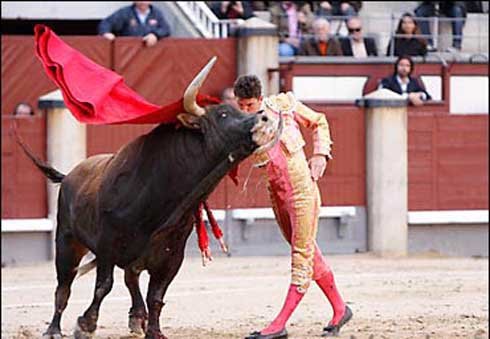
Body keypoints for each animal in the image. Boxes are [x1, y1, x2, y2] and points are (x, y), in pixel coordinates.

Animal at [15, 57, 282, 338]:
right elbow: (104, 285)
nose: (265, 118)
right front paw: (86, 324)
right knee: (64, 285)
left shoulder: (171, 257)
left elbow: (156, 295)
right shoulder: (107, 244)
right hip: (67, 240)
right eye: (223, 114)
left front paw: (154, 331)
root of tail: (69, 175)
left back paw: (137, 318)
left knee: (129, 279)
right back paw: (53, 329)